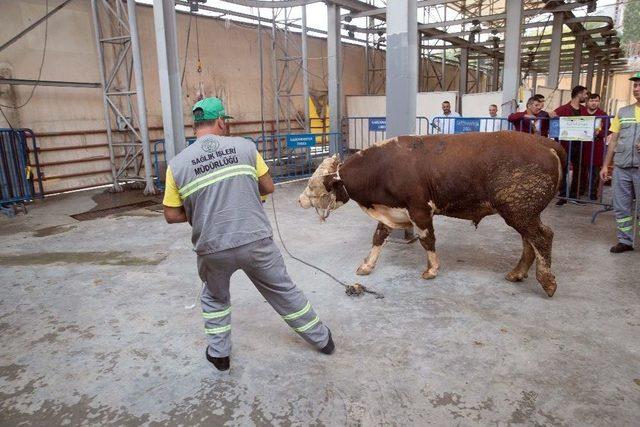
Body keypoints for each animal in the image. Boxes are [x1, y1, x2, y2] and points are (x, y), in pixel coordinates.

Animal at [298, 131, 564, 298]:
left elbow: (428, 240)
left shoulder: (420, 210)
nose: (300, 200)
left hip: (519, 209)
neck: (385, 167)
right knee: (529, 241)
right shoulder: (391, 211)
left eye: (312, 185)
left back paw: (547, 281)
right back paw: (518, 273)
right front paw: (367, 265)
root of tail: (545, 143)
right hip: (522, 212)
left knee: (542, 237)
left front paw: (432, 269)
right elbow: (378, 238)